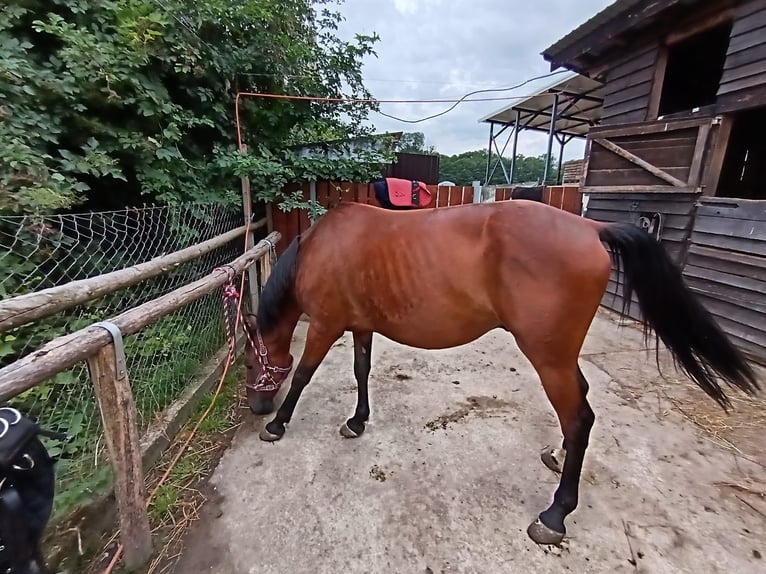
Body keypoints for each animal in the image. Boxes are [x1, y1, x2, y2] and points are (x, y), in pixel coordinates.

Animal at [241, 198, 758, 546]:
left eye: (249, 362)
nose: (256, 406)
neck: (323, 248)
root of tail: (591, 227)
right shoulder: (360, 325)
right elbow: (361, 369)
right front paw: (357, 420)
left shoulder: (325, 326)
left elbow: (304, 375)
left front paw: (278, 424)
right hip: (559, 357)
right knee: (580, 406)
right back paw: (558, 456)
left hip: (548, 358)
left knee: (580, 417)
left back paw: (555, 515)